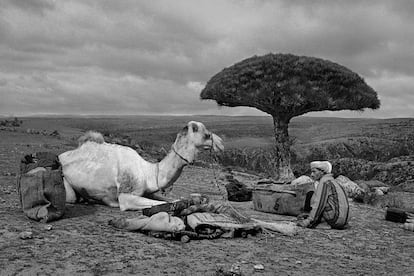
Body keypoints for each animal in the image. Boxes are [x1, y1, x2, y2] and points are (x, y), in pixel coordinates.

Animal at [58, 121, 223, 211]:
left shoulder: (148, 191)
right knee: (71, 198)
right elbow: (160, 203)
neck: (149, 173)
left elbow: (170, 200)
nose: (221, 144)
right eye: (207, 135)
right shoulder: (126, 196)